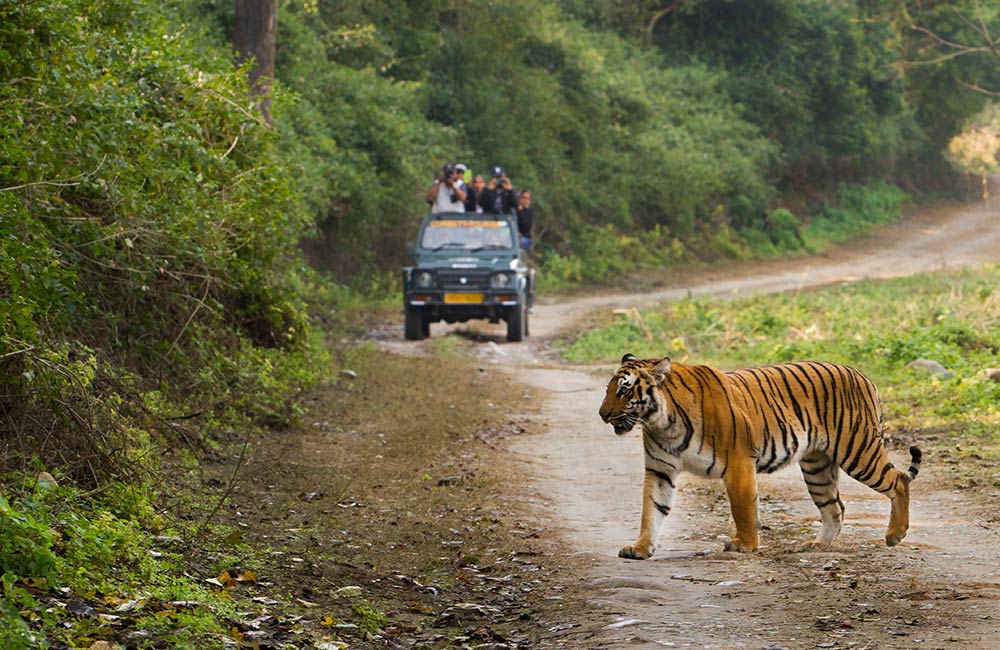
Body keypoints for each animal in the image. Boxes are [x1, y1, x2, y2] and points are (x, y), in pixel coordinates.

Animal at [600, 354, 920, 556]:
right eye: (608, 390)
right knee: (835, 507)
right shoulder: (660, 470)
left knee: (898, 480)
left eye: (625, 390)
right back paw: (819, 545)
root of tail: (862, 374)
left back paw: (895, 534)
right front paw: (640, 548)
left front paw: (745, 545)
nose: (602, 414)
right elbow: (652, 510)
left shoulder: (738, 462)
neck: (662, 422)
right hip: (817, 467)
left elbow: (742, 508)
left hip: (858, 450)